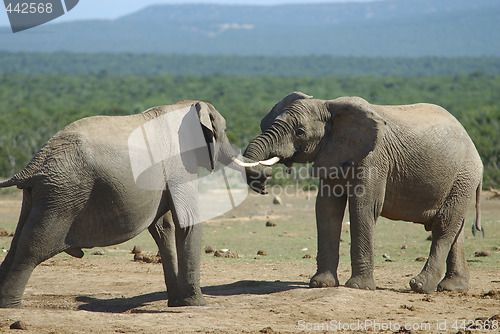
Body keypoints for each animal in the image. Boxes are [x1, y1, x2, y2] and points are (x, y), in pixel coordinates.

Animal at [0, 99, 244, 308]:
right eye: (224, 130)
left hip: (41, 195)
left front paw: (177, 303)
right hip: (63, 192)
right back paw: (12, 306)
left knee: (18, 241)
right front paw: (197, 305)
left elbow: (162, 228)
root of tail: (32, 165)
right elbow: (188, 221)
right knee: (32, 246)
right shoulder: (179, 164)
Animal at [236, 91, 482, 292]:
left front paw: (358, 287)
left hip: (464, 176)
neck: (328, 105)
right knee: (455, 228)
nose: (263, 179)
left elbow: (363, 207)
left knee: (445, 225)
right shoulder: (331, 153)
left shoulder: (374, 158)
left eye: (300, 132)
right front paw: (321, 284)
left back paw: (420, 286)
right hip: (460, 180)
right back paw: (452, 288)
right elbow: (326, 209)